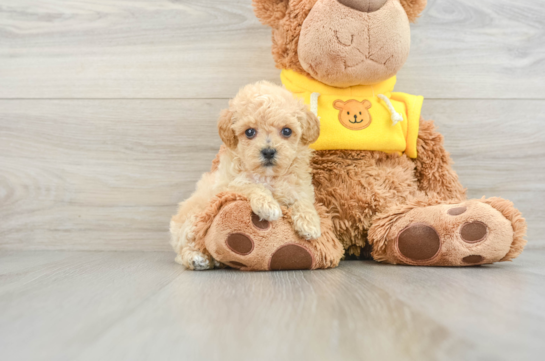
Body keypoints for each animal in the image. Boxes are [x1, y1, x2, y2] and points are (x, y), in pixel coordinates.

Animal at [170, 80, 320, 268]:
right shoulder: (227, 185)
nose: (268, 152)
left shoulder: (300, 186)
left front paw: (310, 224)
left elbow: (303, 200)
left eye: (287, 131)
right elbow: (250, 185)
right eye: (250, 132)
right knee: (187, 245)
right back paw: (196, 258)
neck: (269, 176)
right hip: (193, 219)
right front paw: (267, 206)